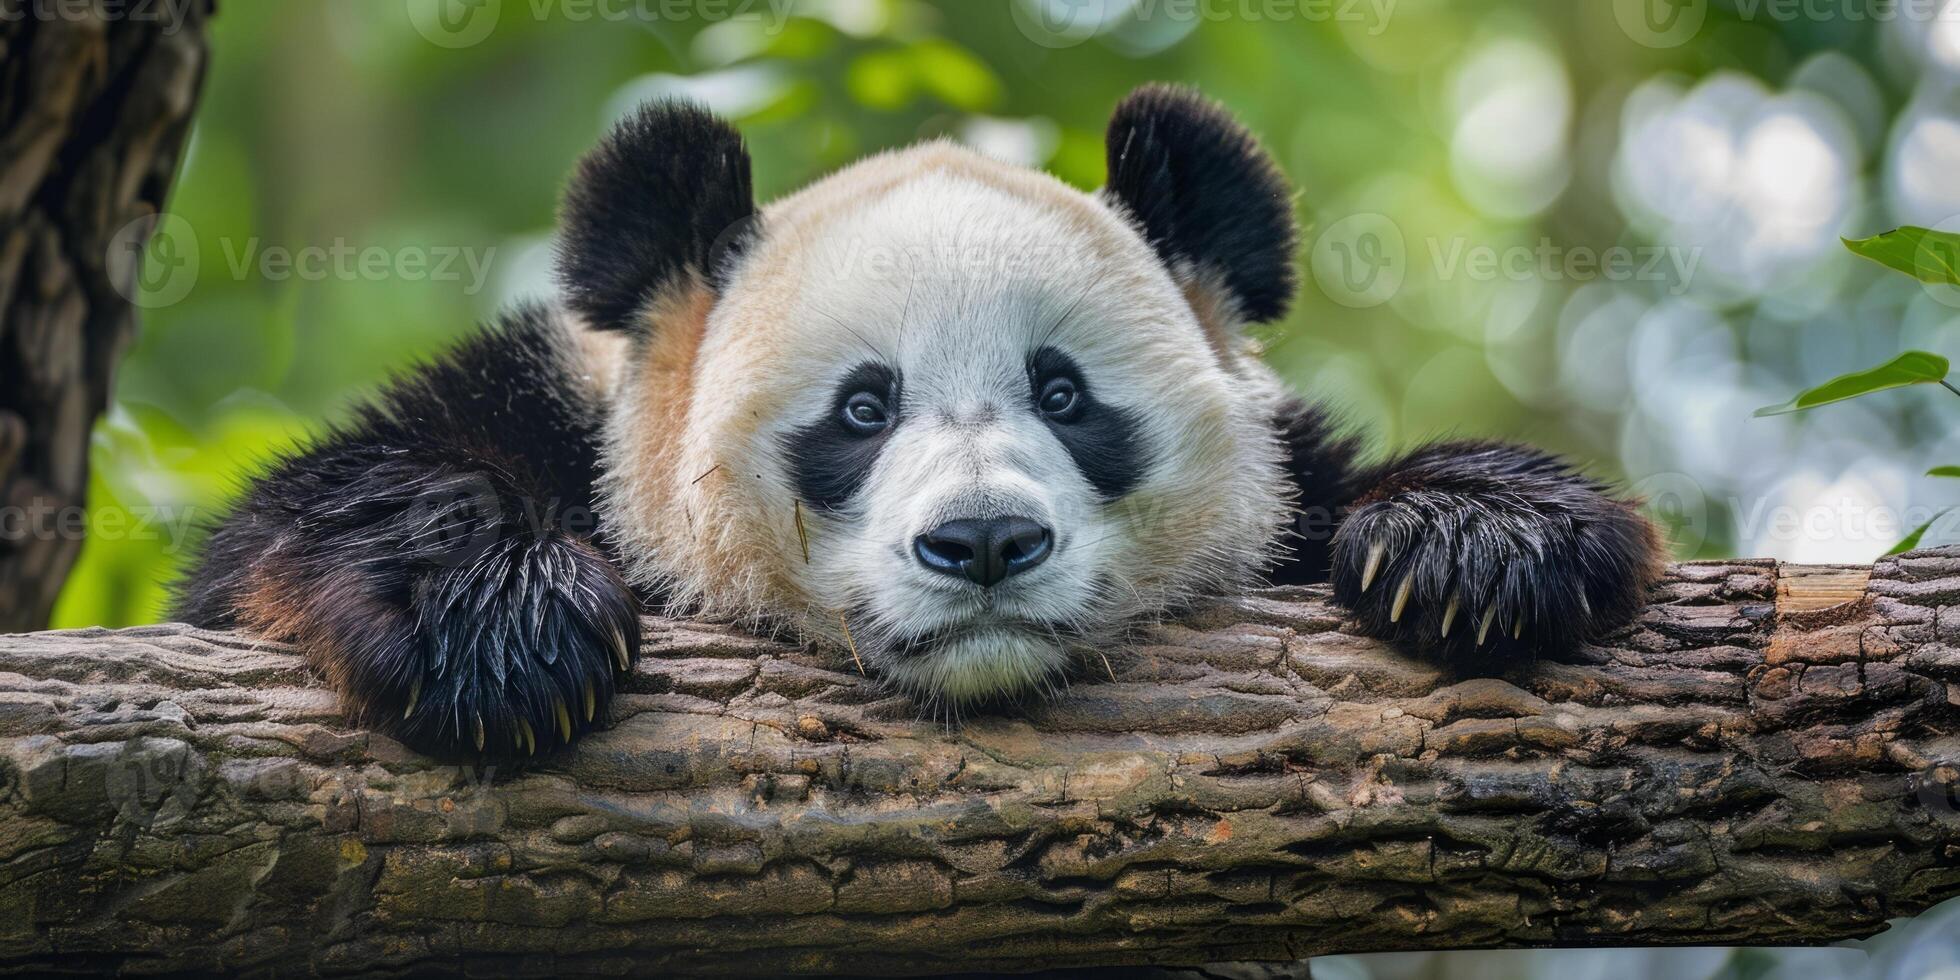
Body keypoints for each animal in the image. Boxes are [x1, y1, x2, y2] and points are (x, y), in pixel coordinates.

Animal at [176, 84, 1662, 756]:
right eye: (860, 408)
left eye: (1064, 394)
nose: (986, 544)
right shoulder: (552, 409)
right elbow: (334, 507)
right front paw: (502, 632)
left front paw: (1479, 547)